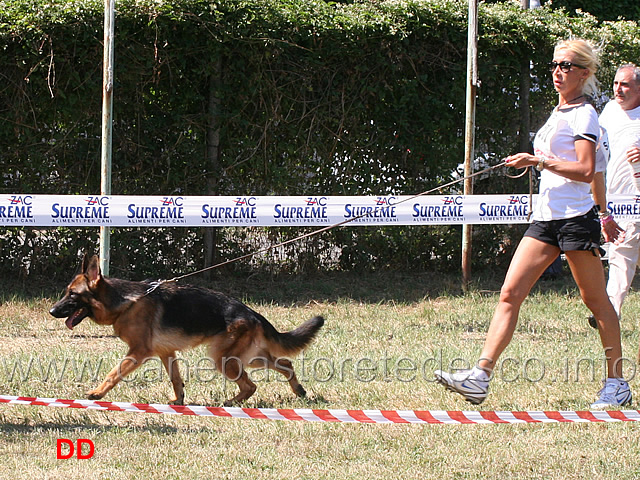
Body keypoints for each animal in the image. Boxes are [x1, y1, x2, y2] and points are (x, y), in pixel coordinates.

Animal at [48, 255, 324, 404]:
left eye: (72, 295)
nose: (51, 311)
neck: (125, 302)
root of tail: (252, 313)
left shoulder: (138, 352)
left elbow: (113, 373)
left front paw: (97, 393)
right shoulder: (165, 353)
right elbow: (176, 379)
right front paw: (179, 400)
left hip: (223, 359)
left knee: (251, 386)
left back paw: (231, 402)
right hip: (247, 357)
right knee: (284, 364)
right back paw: (298, 390)